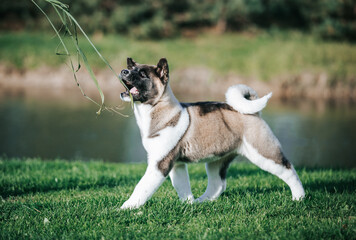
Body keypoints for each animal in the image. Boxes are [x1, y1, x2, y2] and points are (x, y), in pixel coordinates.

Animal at [118, 57, 304, 209]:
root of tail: (253, 113)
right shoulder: (176, 164)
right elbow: (182, 186)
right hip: (217, 160)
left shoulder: (159, 164)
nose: (123, 71)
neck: (157, 108)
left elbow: (142, 187)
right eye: (131, 69)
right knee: (218, 184)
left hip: (263, 152)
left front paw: (127, 207)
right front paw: (188, 204)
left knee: (288, 170)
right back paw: (202, 201)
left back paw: (299, 197)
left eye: (142, 74)